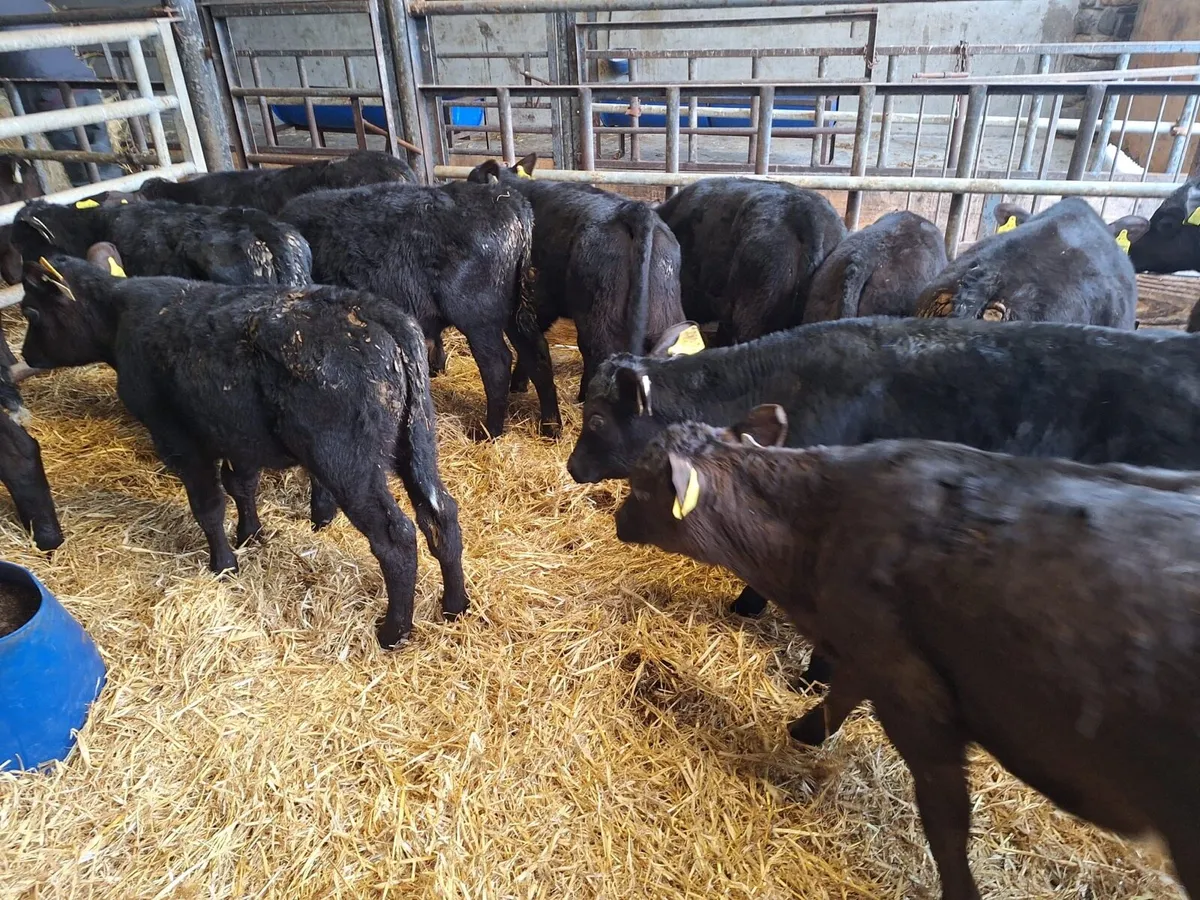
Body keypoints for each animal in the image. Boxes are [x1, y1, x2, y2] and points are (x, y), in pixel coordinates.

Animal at [20, 254, 466, 648]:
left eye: (30, 312)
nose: (24, 355)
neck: (121, 318)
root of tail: (371, 311)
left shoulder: (180, 439)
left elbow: (209, 505)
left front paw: (223, 564)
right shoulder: (237, 435)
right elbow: (240, 485)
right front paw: (250, 533)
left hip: (348, 463)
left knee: (396, 537)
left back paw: (394, 632)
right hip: (416, 442)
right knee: (440, 513)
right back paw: (455, 605)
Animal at [281, 179, 560, 438]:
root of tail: (506, 199)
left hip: (479, 318)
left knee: (497, 366)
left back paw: (488, 432)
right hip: (514, 312)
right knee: (537, 353)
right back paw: (551, 426)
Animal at [615, 415, 1200, 900]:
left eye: (641, 483)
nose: (618, 518)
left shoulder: (913, 693)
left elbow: (945, 817)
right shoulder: (873, 648)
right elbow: (843, 691)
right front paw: (805, 730)